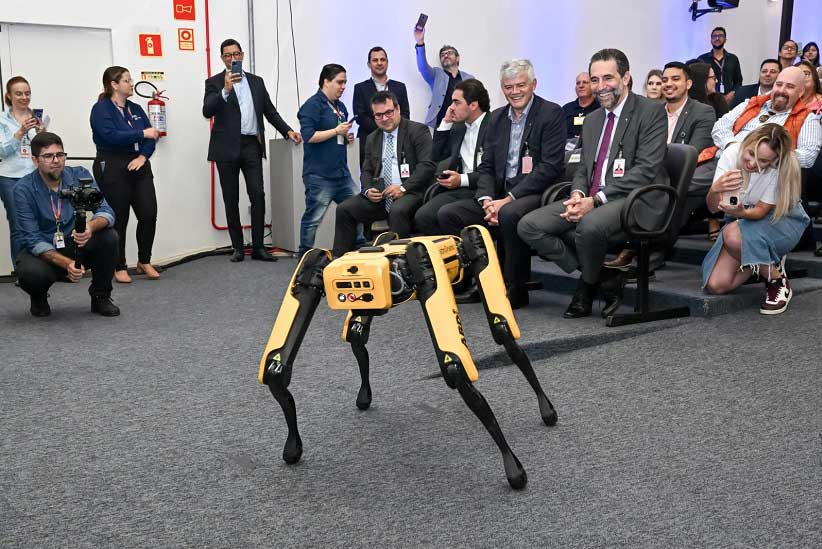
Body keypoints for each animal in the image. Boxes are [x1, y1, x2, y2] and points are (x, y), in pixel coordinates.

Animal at [260, 225, 556, 490]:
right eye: (346, 284)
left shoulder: (426, 268)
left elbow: (455, 367)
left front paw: (513, 467)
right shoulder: (313, 272)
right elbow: (276, 370)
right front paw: (292, 447)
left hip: (472, 248)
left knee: (502, 327)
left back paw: (547, 409)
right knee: (356, 333)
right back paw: (364, 393)